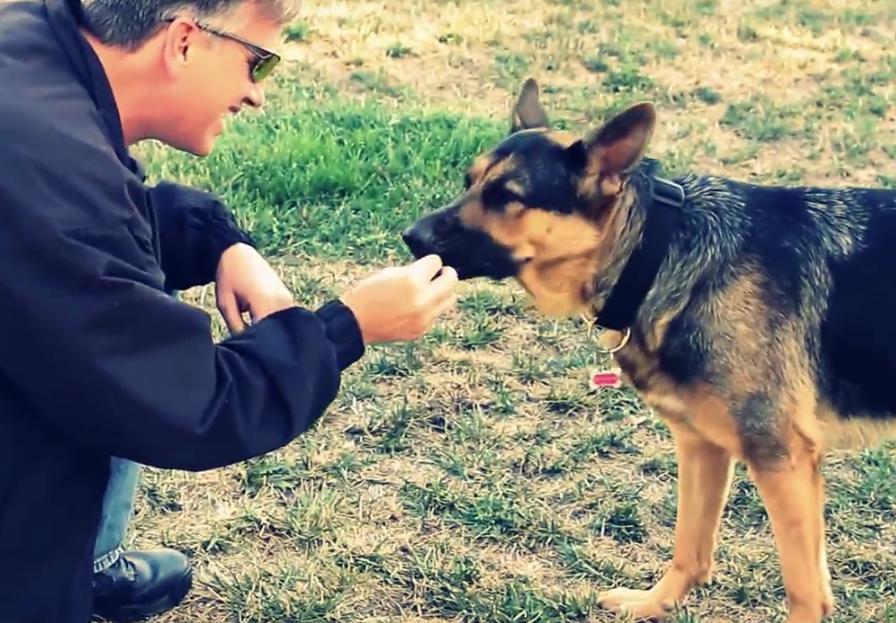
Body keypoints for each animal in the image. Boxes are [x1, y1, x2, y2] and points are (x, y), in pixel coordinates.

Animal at [402, 78, 896, 623]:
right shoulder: (700, 444)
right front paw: (655, 604)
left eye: (506, 196)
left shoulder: (780, 458)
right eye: (469, 181)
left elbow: (804, 588)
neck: (657, 254)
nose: (411, 237)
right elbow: (690, 546)